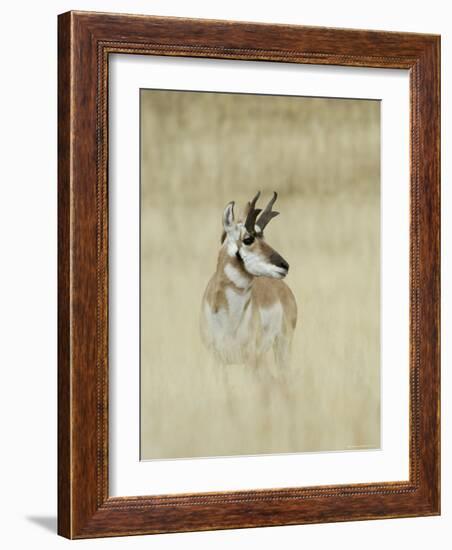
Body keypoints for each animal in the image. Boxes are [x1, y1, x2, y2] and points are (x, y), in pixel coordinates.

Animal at [200, 192, 296, 374]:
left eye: (264, 237)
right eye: (248, 239)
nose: (284, 265)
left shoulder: (252, 359)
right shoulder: (217, 361)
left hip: (282, 347)